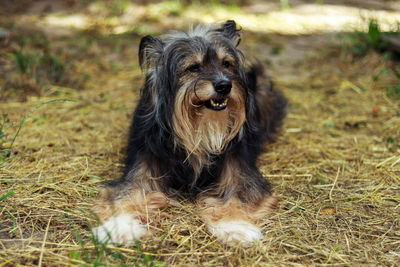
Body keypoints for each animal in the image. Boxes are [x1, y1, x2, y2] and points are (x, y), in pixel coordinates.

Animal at [93, 20, 288, 247]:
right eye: (193, 67)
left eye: (226, 64)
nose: (225, 85)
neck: (200, 124)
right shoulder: (143, 163)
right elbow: (127, 196)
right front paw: (119, 227)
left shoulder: (239, 169)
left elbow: (237, 196)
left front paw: (235, 226)